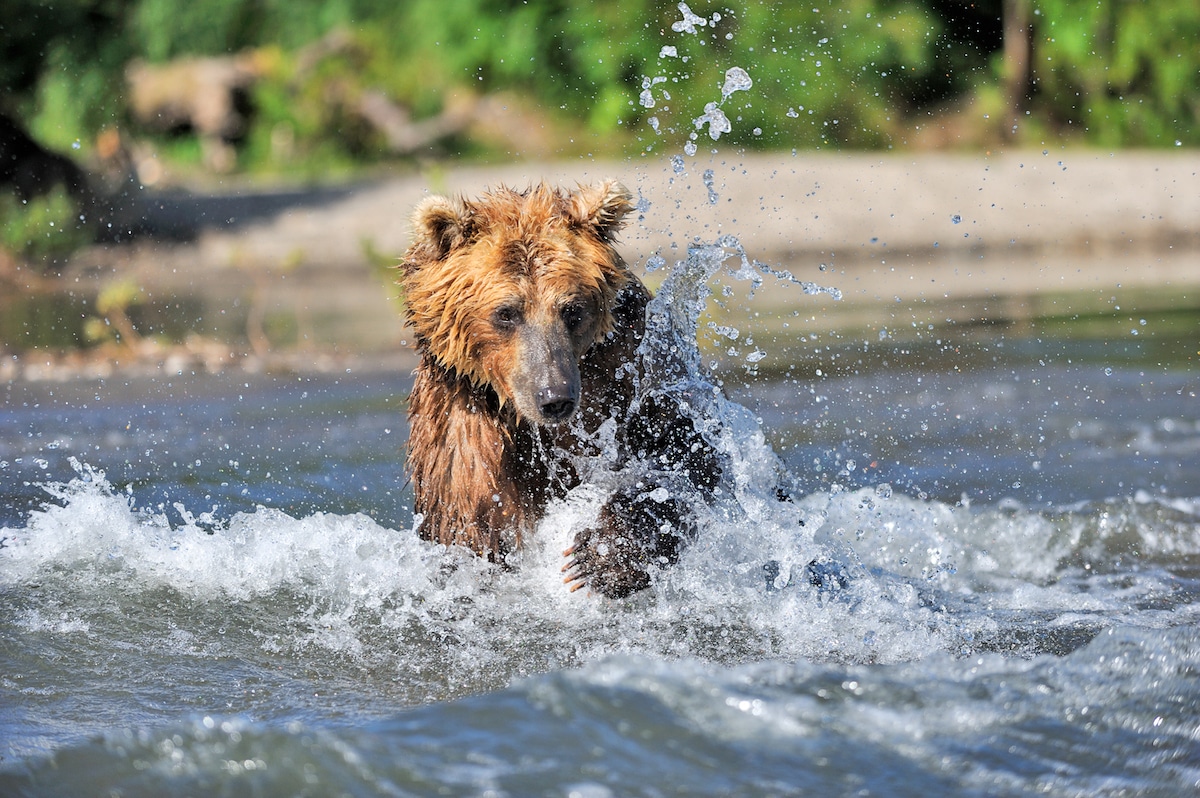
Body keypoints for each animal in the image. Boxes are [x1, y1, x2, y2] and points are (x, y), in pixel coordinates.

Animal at [400, 177, 720, 595]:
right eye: (507, 312)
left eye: (572, 309)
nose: (554, 398)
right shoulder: (461, 426)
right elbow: (470, 522)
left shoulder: (632, 370)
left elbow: (685, 454)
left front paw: (599, 556)